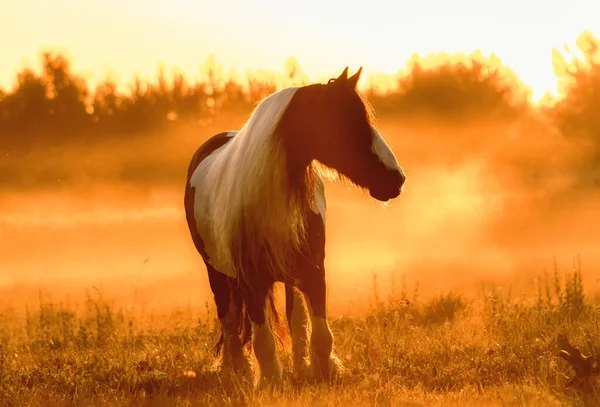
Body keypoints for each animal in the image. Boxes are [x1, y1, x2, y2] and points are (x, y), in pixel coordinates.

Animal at [184, 67, 408, 388]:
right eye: (347, 121)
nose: (396, 178)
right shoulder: (251, 281)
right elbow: (262, 341)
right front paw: (269, 382)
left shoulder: (314, 272)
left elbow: (320, 335)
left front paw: (323, 375)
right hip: (217, 273)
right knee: (229, 320)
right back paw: (236, 369)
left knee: (296, 319)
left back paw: (300, 367)